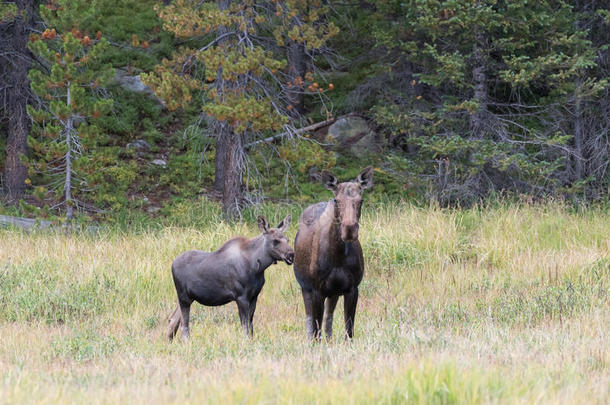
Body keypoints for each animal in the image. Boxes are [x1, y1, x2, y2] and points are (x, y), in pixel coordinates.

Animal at [294, 166, 372, 340]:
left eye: (361, 200)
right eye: (337, 200)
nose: (349, 229)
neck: (338, 255)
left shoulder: (352, 289)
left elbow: (348, 331)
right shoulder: (316, 290)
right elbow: (316, 332)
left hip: (333, 293)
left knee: (328, 319)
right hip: (305, 288)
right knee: (309, 322)